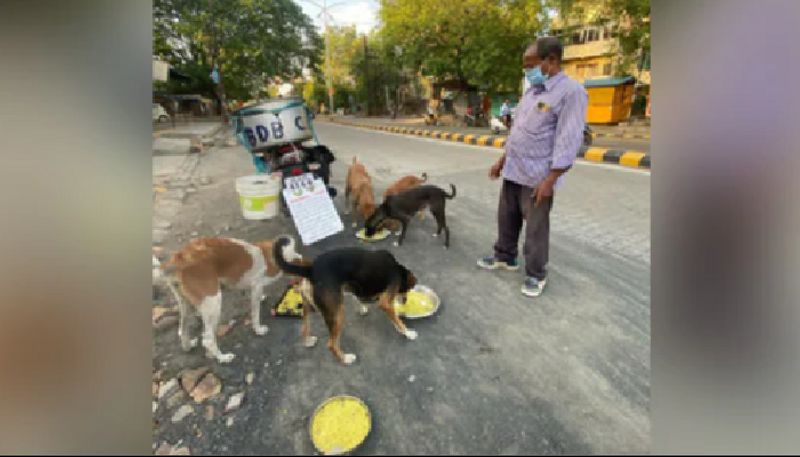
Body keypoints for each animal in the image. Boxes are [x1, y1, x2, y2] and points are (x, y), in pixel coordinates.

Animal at [158, 237, 302, 362]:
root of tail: (180, 258)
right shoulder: (256, 287)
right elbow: (255, 314)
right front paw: (258, 330)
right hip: (213, 303)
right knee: (208, 340)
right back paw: (223, 358)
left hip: (185, 304)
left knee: (183, 329)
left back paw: (189, 345)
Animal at [274, 235, 416, 364]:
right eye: (407, 290)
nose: (405, 301)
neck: (397, 268)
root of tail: (310, 269)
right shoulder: (386, 301)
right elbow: (397, 319)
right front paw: (408, 333)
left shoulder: (352, 286)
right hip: (337, 315)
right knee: (331, 344)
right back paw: (346, 359)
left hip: (309, 306)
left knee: (304, 328)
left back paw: (308, 341)